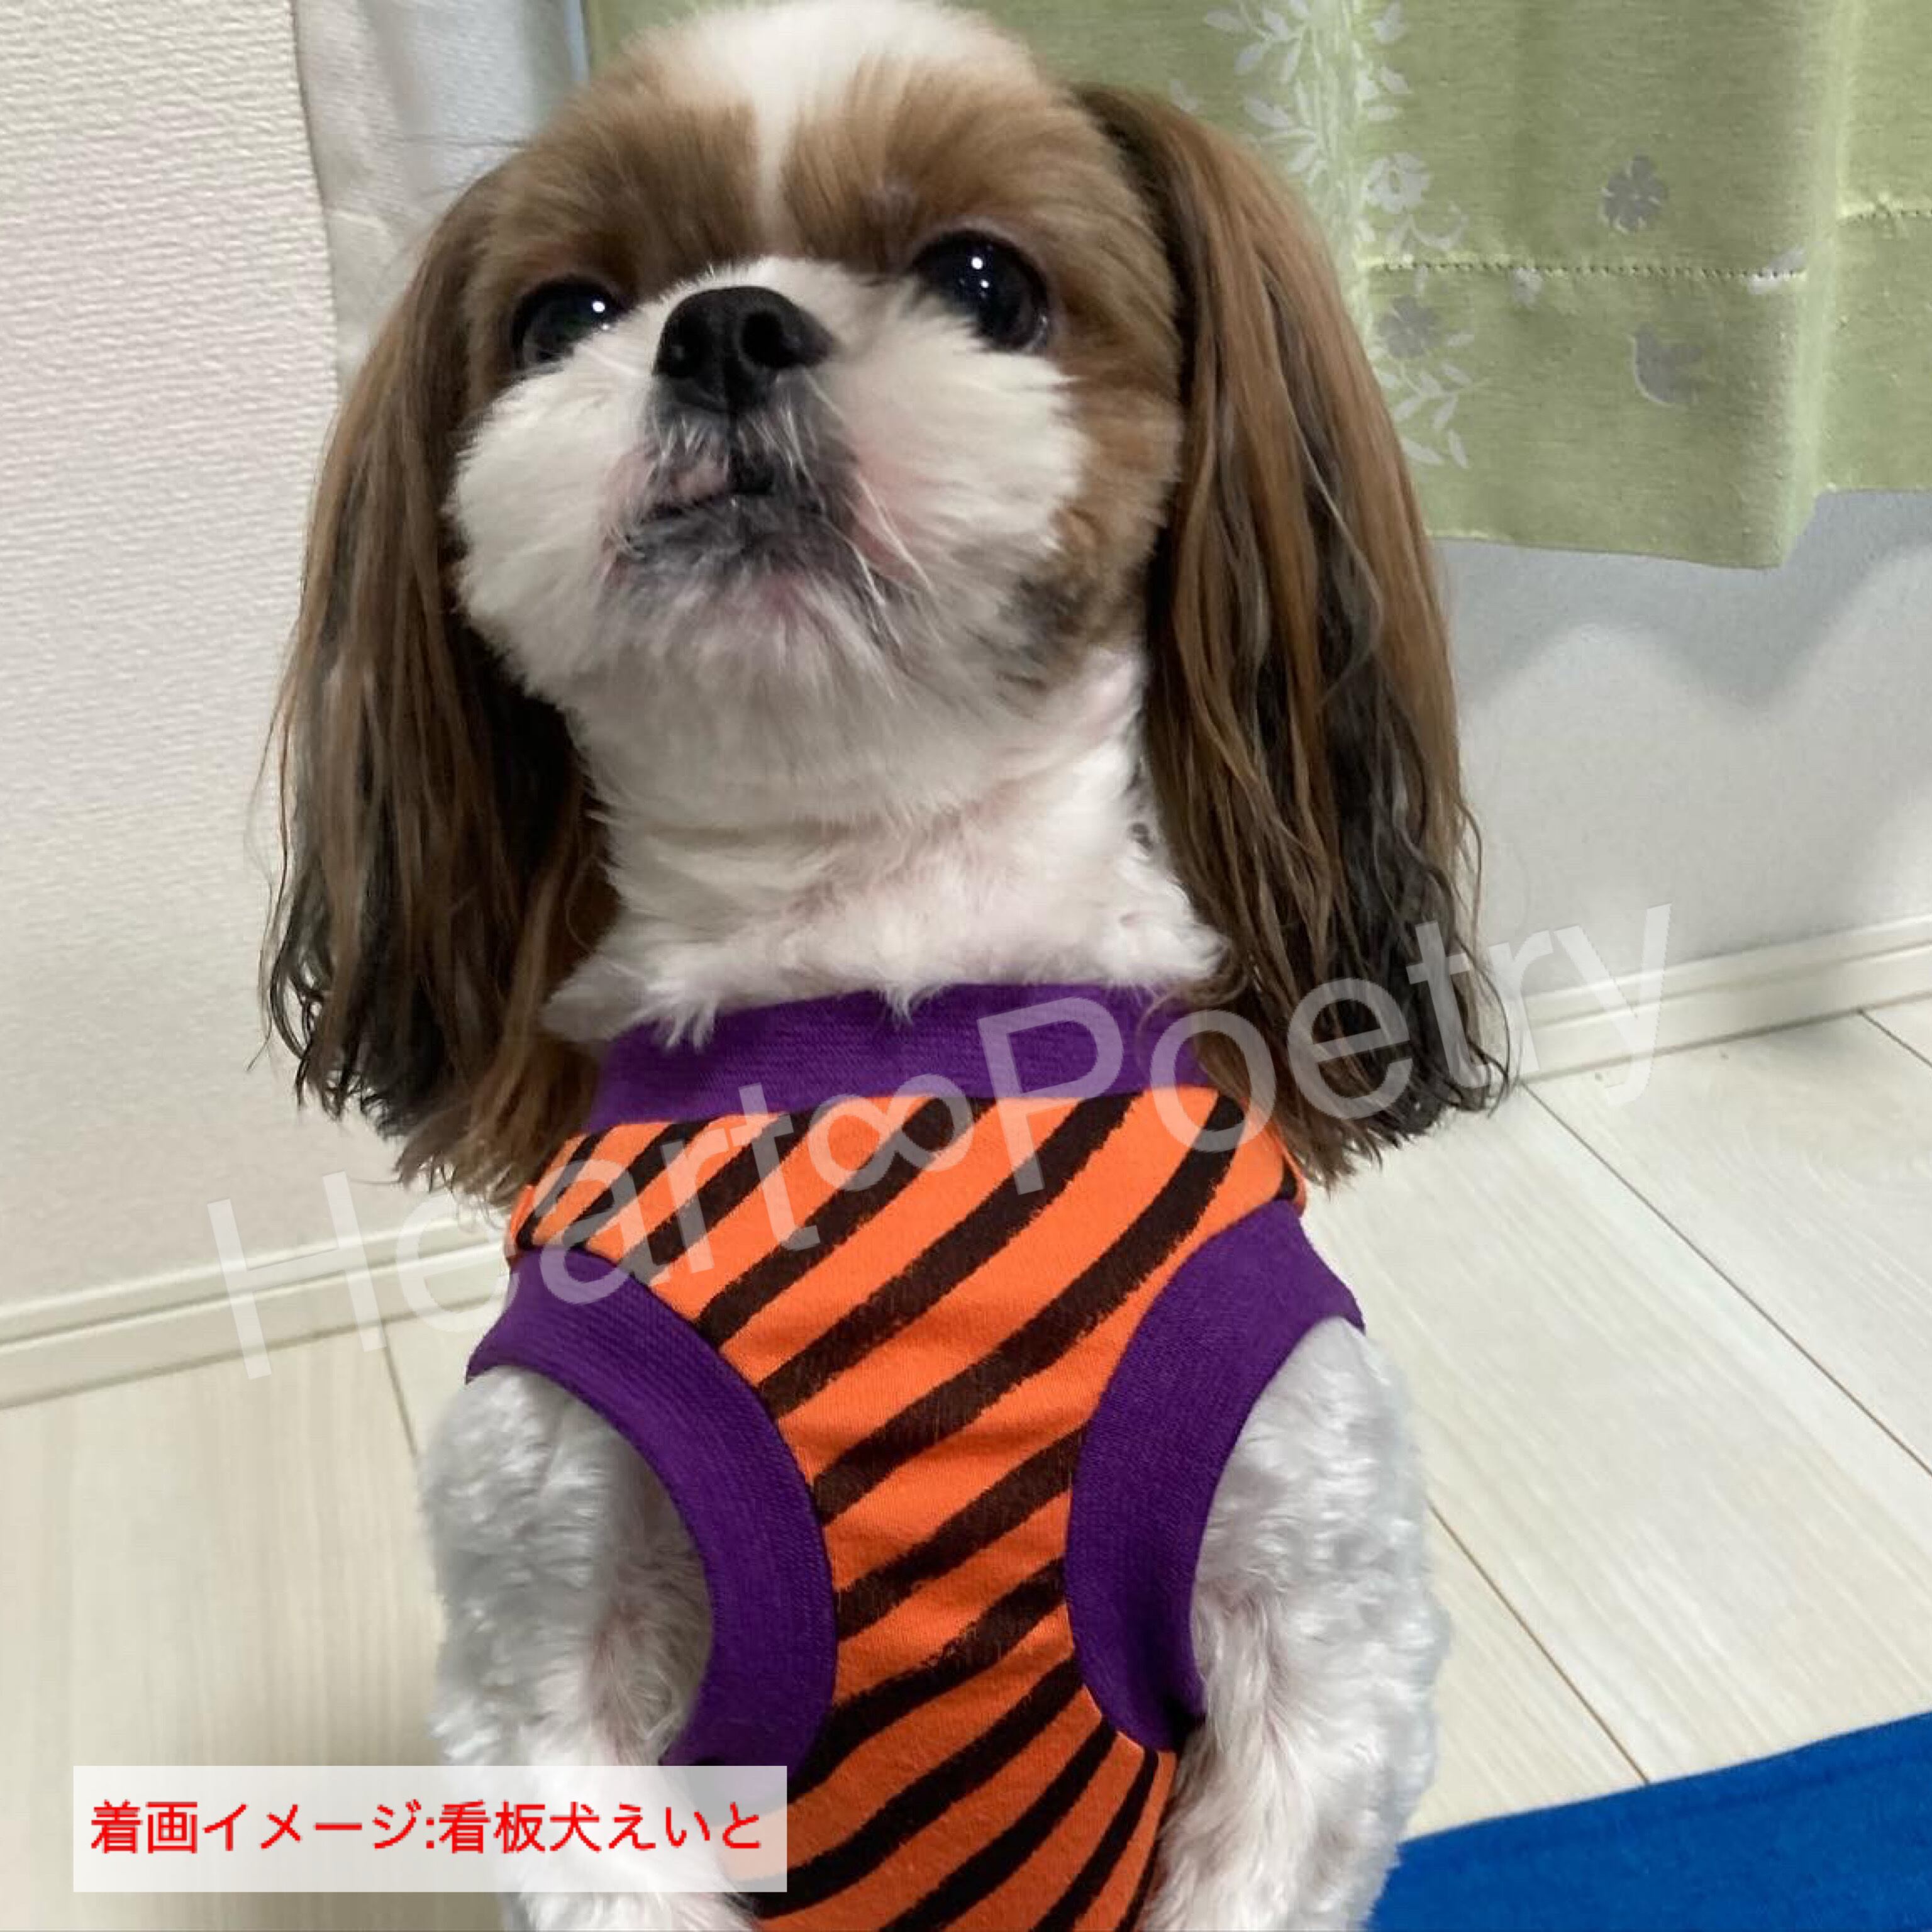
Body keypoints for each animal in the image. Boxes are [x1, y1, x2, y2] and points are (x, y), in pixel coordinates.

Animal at [266, 4, 1494, 1925]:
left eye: (986, 279)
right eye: (562, 314)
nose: (721, 326)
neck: (873, 963)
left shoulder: (1316, 1650)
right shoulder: (551, 1658)